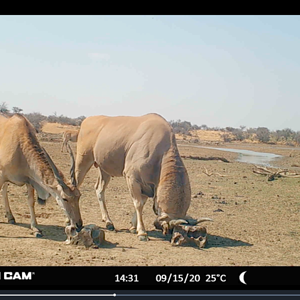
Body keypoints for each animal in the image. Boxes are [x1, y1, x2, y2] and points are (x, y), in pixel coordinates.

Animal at [74, 112, 212, 241]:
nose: (166, 231)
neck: (161, 152)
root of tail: (86, 120)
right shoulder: (132, 178)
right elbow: (138, 204)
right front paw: (142, 232)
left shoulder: (148, 185)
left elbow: (142, 203)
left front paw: (133, 227)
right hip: (83, 161)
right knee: (75, 184)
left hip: (104, 170)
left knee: (99, 189)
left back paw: (108, 222)